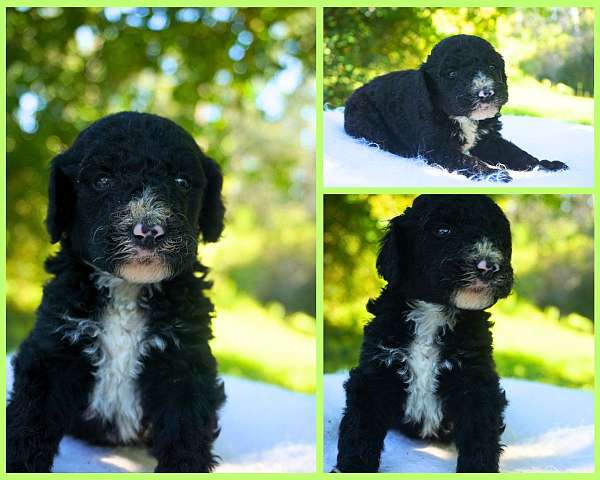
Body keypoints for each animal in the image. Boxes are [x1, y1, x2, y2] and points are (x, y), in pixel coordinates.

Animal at [7, 111, 227, 472]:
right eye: (102, 181)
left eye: (182, 182)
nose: (149, 230)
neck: (127, 287)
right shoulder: (54, 347)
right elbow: (30, 418)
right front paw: (19, 463)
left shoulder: (183, 360)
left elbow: (186, 427)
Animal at [332, 195, 510, 472]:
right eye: (443, 231)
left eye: (498, 238)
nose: (489, 266)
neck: (433, 312)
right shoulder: (375, 371)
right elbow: (360, 427)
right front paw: (353, 467)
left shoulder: (476, 380)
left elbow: (480, 434)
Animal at [344, 34, 568, 182]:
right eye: (452, 74)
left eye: (492, 67)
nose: (486, 93)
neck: (463, 118)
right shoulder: (438, 148)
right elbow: (468, 161)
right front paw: (493, 174)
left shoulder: (488, 139)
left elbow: (515, 153)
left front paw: (545, 165)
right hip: (365, 117)